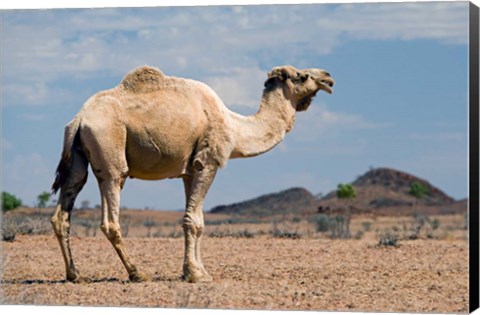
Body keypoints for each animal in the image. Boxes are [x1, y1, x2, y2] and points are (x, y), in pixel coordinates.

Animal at [49, 64, 334, 284]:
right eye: (302, 76)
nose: (328, 78)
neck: (234, 126)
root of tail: (79, 119)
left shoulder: (189, 171)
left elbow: (194, 220)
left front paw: (194, 271)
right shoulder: (207, 162)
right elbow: (195, 222)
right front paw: (197, 275)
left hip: (77, 157)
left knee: (64, 209)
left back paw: (75, 275)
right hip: (109, 147)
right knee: (111, 207)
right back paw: (137, 273)